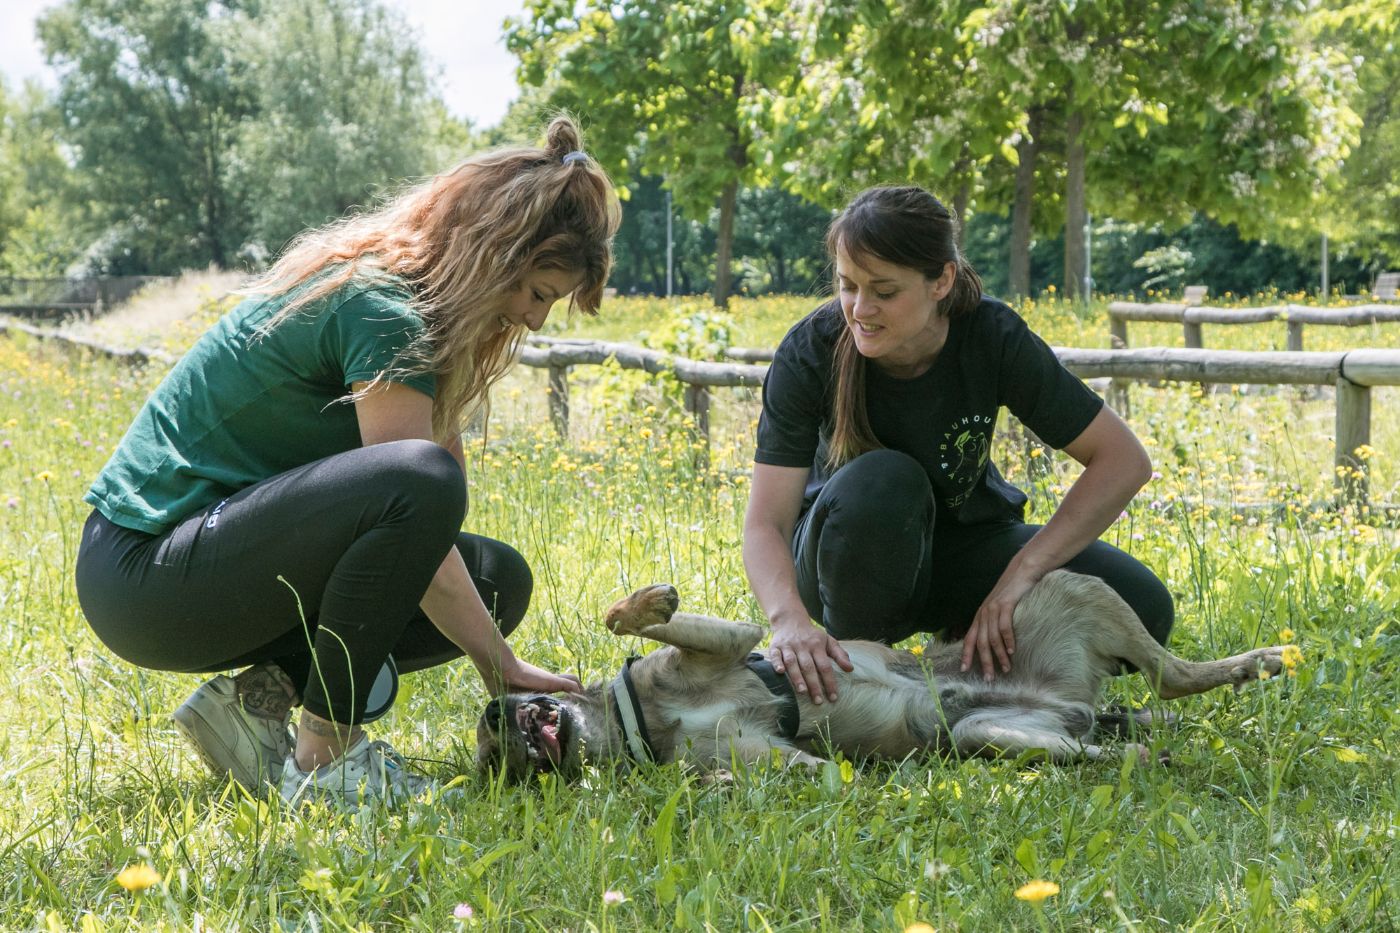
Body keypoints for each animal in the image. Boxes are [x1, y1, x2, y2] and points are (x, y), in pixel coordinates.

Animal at [476, 565, 1282, 778]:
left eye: (491, 739)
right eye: (497, 766)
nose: (495, 716)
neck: (643, 725)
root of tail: (1068, 703)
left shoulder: (733, 641)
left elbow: (638, 620)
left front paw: (640, 602)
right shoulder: (788, 760)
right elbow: (789, 772)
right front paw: (716, 785)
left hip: (1075, 589)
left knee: (1171, 675)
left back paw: (1257, 662)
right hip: (996, 734)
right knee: (1123, 734)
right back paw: (1150, 747)